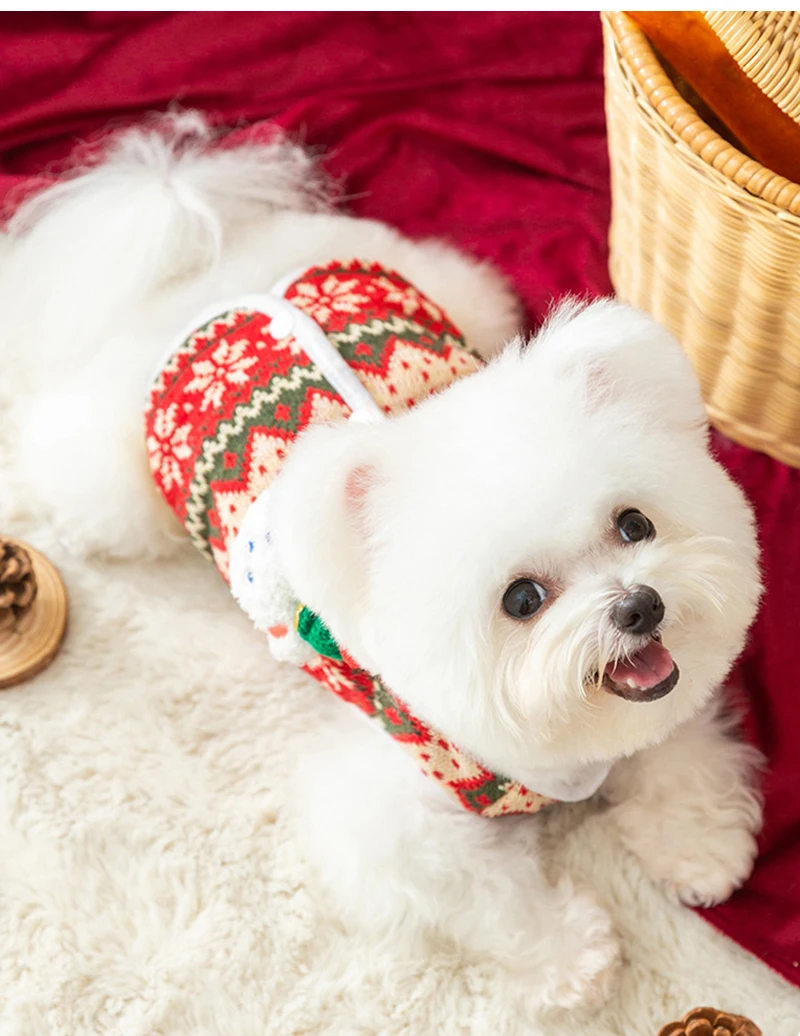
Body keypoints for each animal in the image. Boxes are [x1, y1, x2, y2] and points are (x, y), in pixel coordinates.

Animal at [0, 113, 763, 1013]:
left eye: (634, 522)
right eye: (522, 598)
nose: (639, 606)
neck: (564, 750)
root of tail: (205, 251)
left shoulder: (663, 704)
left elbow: (677, 753)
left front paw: (699, 842)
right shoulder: (393, 814)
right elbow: (483, 894)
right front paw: (571, 958)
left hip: (445, 285)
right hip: (112, 476)